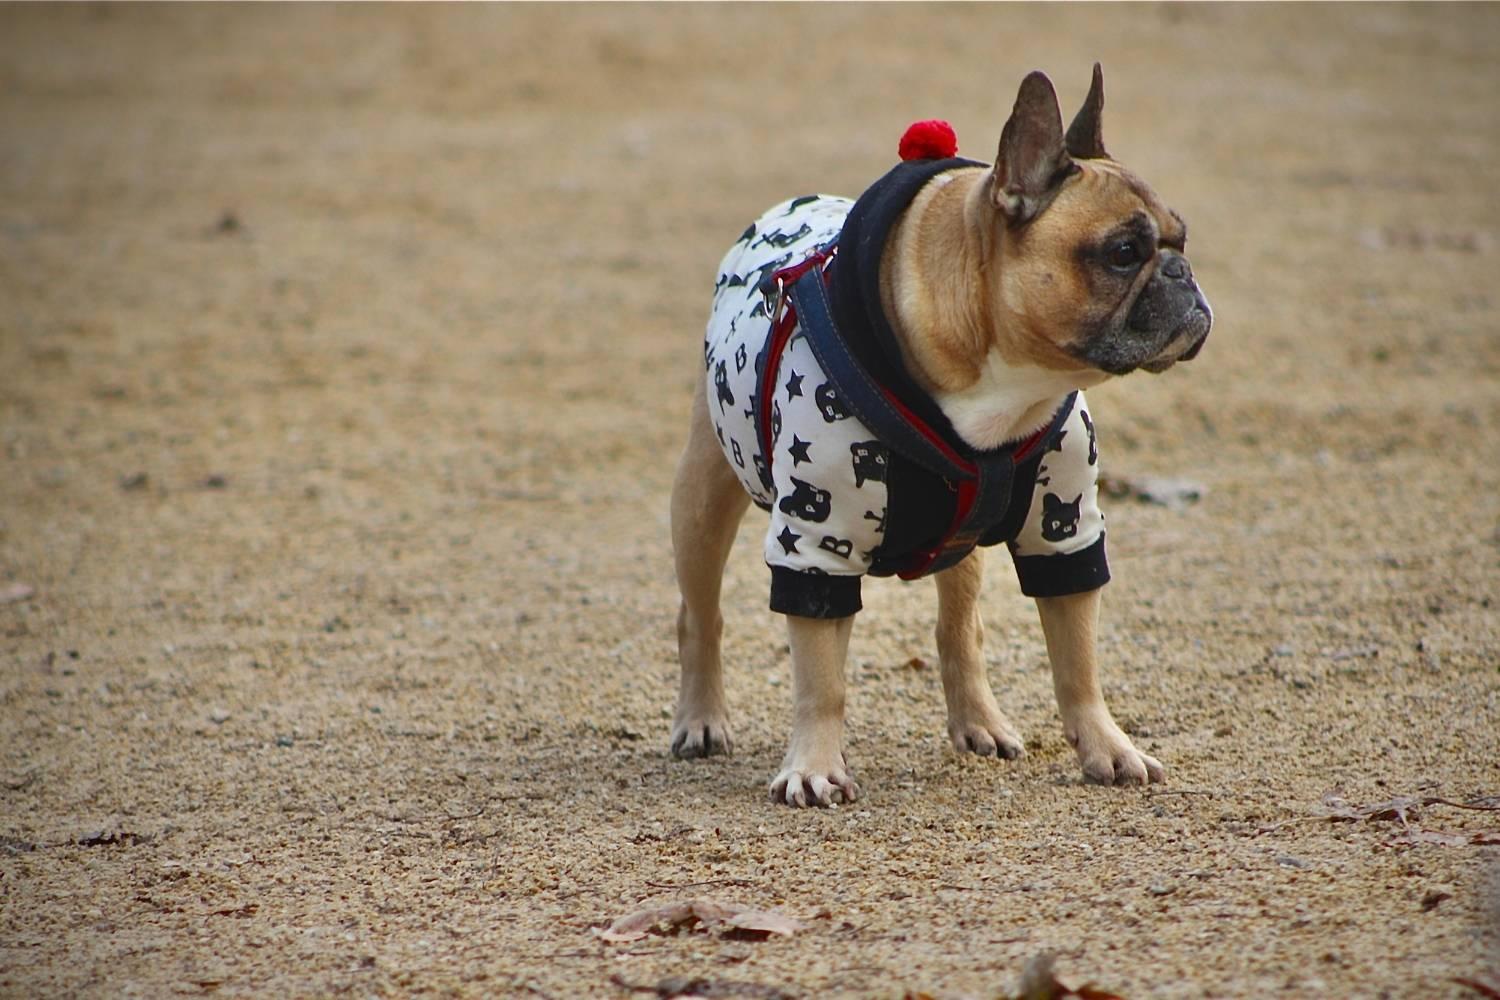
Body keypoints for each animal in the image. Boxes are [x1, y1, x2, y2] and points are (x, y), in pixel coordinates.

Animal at [669, 64, 1206, 803]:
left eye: (1181, 240)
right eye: (1124, 253)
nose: (1183, 275)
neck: (1007, 389)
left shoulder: (1063, 528)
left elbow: (1078, 664)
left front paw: (1108, 747)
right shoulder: (815, 541)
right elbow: (821, 679)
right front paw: (814, 767)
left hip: (963, 550)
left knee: (960, 627)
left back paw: (979, 721)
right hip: (701, 498)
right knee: (701, 615)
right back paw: (700, 718)